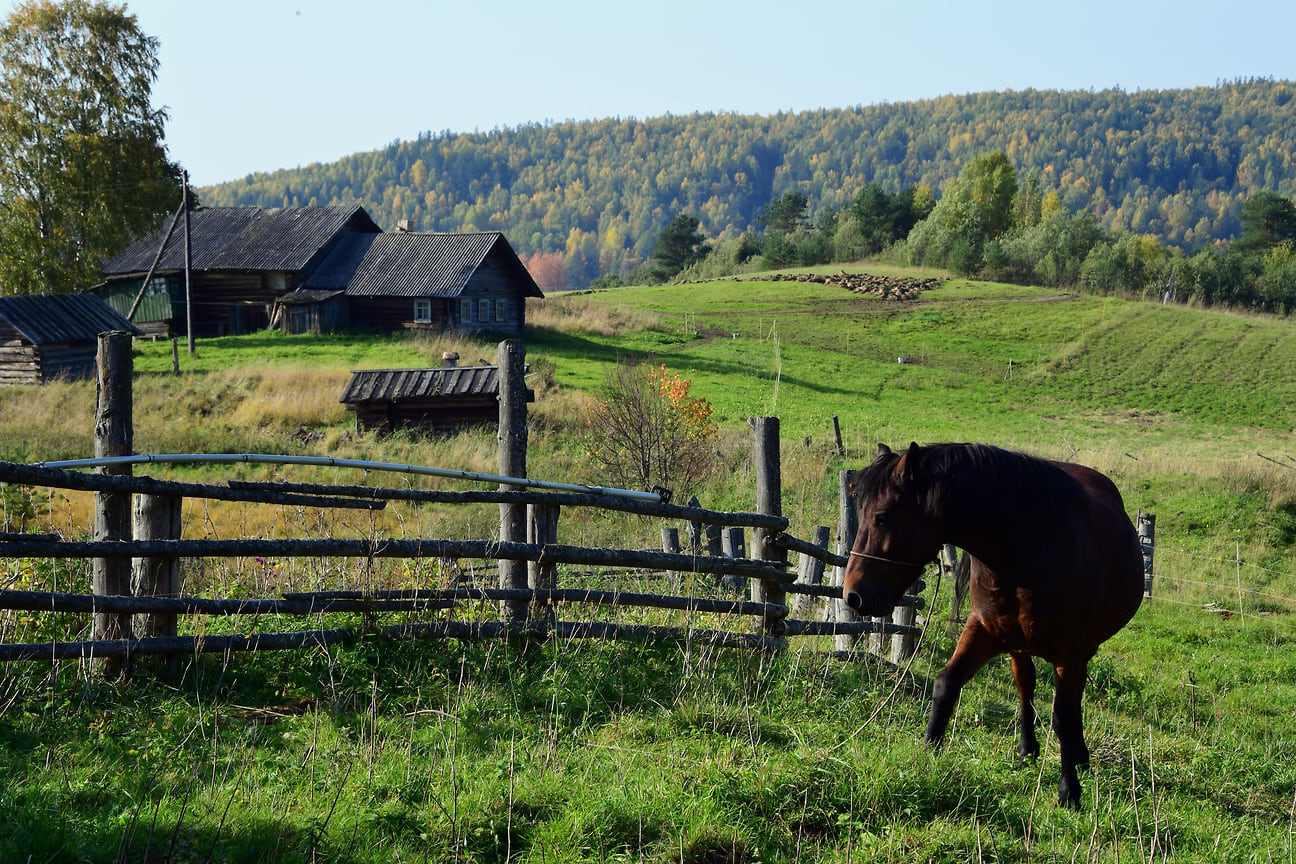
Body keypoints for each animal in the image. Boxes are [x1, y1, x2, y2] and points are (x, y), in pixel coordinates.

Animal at [844, 443, 1140, 808]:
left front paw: (1069, 791)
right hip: (1017, 646)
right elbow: (945, 685)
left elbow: (1062, 716)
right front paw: (928, 752)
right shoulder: (984, 630)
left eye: (882, 517)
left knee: (1069, 701)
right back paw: (1027, 751)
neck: (1030, 546)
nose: (853, 595)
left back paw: (1078, 756)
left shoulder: (1069, 652)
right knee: (1026, 687)